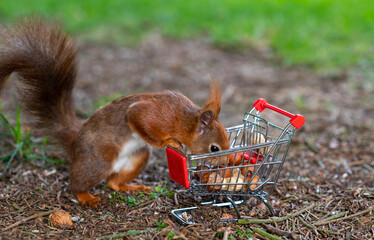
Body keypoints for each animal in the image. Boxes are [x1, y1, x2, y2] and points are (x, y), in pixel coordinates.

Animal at [0, 17, 229, 207]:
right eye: (214, 148)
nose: (225, 166)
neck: (184, 120)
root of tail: (75, 142)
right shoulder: (153, 114)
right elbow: (137, 117)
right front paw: (168, 142)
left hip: (137, 158)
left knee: (113, 182)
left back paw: (132, 186)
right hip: (98, 161)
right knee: (78, 182)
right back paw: (86, 197)